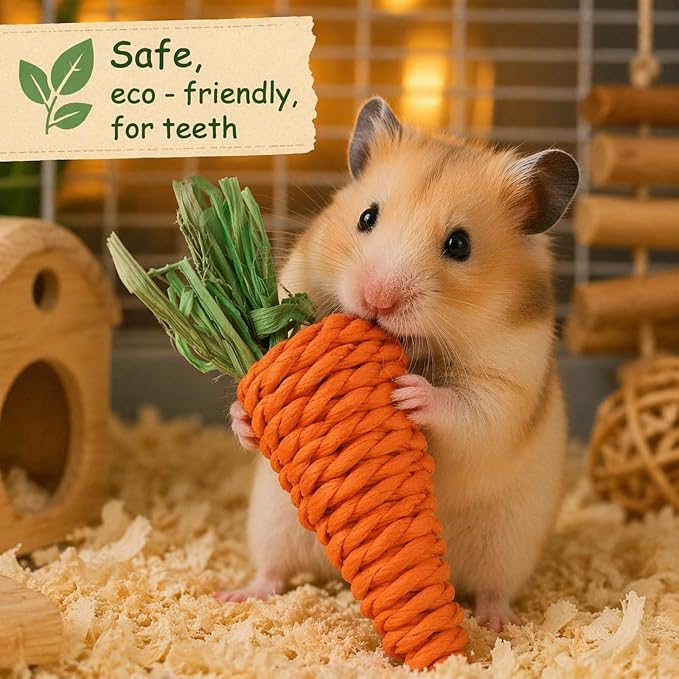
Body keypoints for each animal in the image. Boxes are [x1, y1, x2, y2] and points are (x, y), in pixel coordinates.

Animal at [218, 97, 579, 632]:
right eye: (367, 216)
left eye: (459, 244)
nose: (376, 300)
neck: (416, 346)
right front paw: (243, 419)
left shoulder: (509, 385)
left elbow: (471, 413)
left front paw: (409, 392)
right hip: (274, 521)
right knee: (274, 572)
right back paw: (235, 595)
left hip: (509, 542)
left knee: (494, 589)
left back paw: (499, 623)